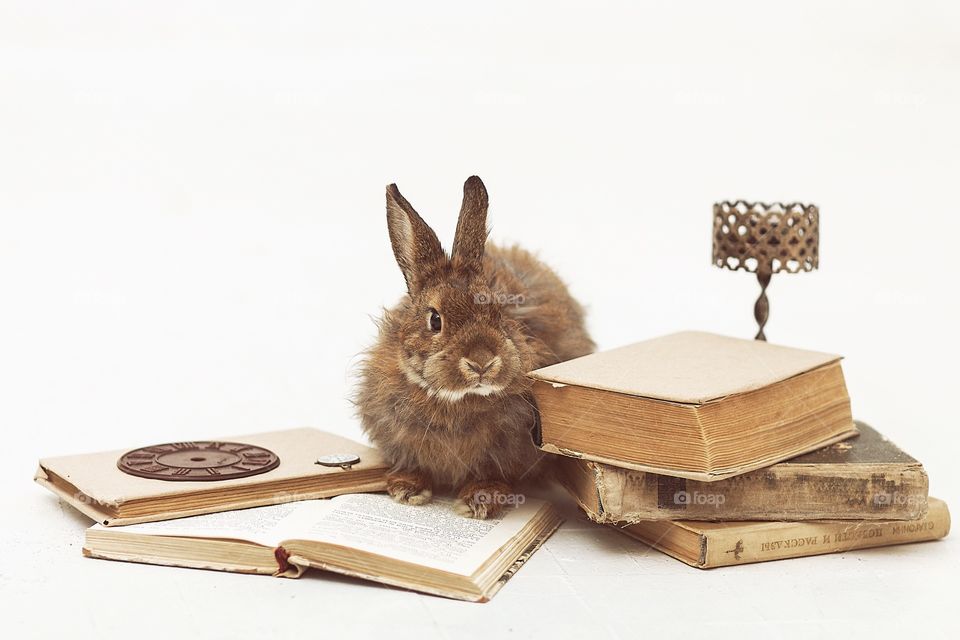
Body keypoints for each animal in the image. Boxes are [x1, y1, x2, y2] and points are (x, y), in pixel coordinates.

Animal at [355, 176, 595, 518]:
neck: (456, 400)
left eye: (498, 311)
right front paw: (407, 489)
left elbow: (492, 473)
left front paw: (480, 499)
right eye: (435, 320)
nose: (482, 362)